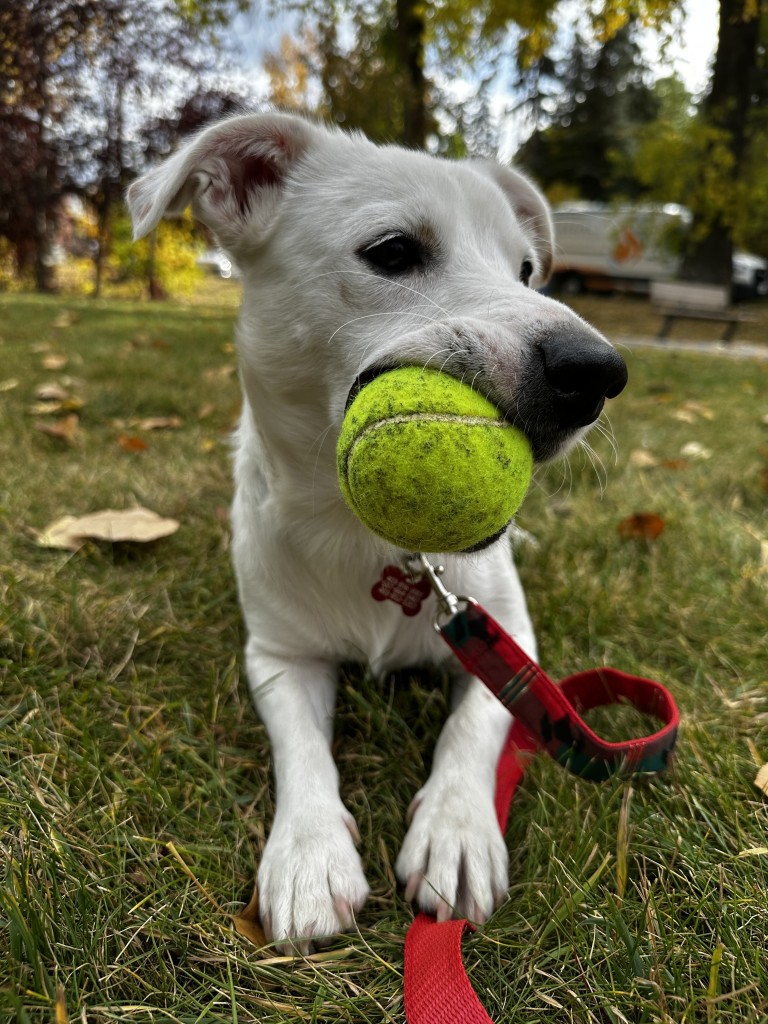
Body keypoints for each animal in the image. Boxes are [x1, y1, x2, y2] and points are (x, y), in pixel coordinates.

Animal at [127, 112, 627, 951]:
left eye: (527, 270)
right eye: (393, 251)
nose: (599, 371)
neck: (368, 543)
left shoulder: (506, 643)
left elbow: (475, 731)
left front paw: (458, 831)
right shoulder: (278, 657)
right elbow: (301, 750)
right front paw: (307, 851)